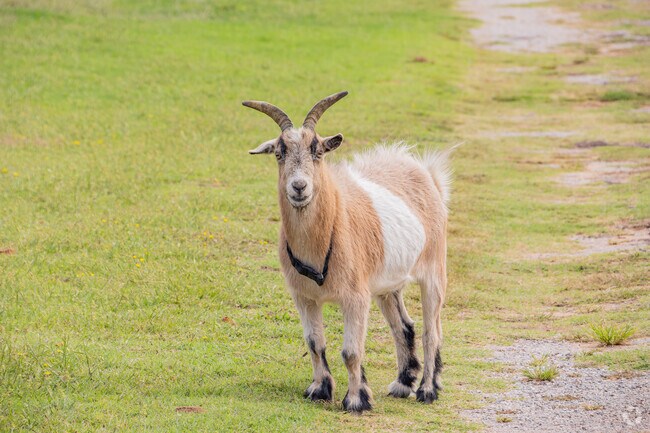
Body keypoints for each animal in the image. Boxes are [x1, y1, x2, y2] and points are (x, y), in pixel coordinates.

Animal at [243, 91, 453, 413]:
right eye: (279, 152)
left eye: (318, 151)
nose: (299, 187)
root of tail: (427, 174)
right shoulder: (304, 297)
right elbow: (314, 343)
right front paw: (319, 389)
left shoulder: (355, 297)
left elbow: (351, 351)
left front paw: (356, 400)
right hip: (386, 285)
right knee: (404, 326)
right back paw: (403, 384)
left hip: (434, 270)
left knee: (432, 330)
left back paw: (427, 390)